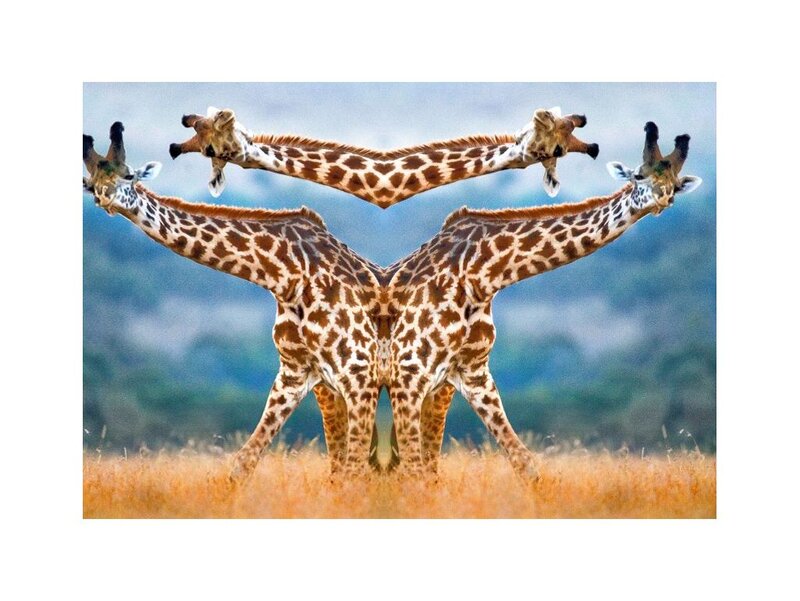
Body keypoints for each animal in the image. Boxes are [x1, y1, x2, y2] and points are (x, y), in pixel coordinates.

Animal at [83, 122, 386, 481]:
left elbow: (353, 468)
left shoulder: (358, 373)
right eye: (90, 185)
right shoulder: (296, 372)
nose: (104, 198)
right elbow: (244, 462)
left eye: (129, 176)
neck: (286, 274)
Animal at [382, 122, 702, 477]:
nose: (663, 199)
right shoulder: (410, 372)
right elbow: (416, 467)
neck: (482, 274)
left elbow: (524, 462)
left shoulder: (468, 373)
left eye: (676, 185)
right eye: (638, 176)